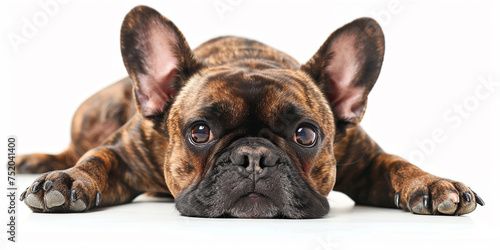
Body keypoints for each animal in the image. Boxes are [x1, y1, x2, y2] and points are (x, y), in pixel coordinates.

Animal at [17, 4, 482, 218]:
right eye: (199, 132)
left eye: (306, 135)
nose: (254, 156)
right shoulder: (124, 152)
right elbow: (95, 159)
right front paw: (67, 181)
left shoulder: (367, 160)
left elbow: (399, 164)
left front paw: (434, 184)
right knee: (75, 146)